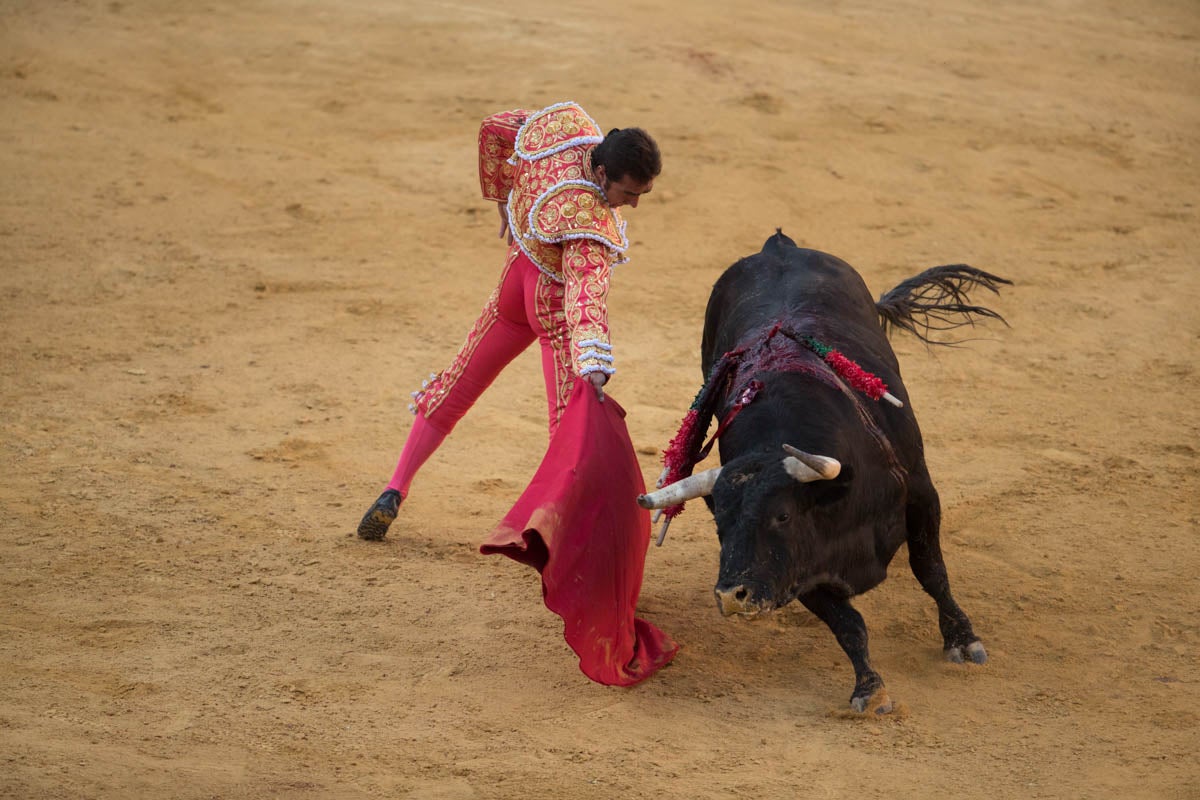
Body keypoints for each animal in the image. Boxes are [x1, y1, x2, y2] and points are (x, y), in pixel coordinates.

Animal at [643, 231, 1008, 714]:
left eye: (781, 515)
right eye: (719, 523)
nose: (731, 598)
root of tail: (779, 245)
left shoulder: (921, 495)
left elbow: (931, 570)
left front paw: (963, 641)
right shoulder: (801, 565)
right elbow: (847, 623)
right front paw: (869, 690)